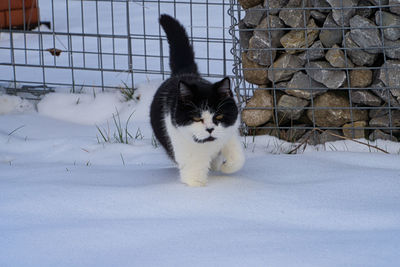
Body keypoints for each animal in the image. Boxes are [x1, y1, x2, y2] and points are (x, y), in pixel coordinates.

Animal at [149, 14, 244, 186]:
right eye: (197, 118)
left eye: (219, 116)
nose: (210, 129)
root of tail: (183, 73)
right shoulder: (188, 155)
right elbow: (194, 180)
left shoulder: (230, 132)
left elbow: (238, 158)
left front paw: (226, 167)